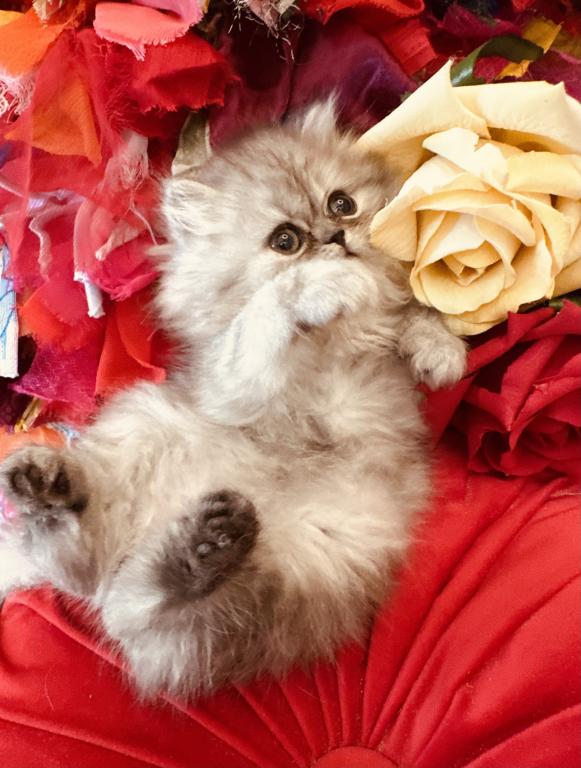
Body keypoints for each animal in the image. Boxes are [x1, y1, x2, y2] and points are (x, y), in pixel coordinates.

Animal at [0, 101, 466, 699]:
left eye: (342, 203)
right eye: (286, 241)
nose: (336, 237)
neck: (338, 341)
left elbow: (415, 315)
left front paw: (438, 350)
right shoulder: (230, 386)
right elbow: (265, 313)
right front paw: (324, 284)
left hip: (300, 573)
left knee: (137, 606)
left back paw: (195, 542)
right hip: (143, 424)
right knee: (98, 584)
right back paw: (62, 492)